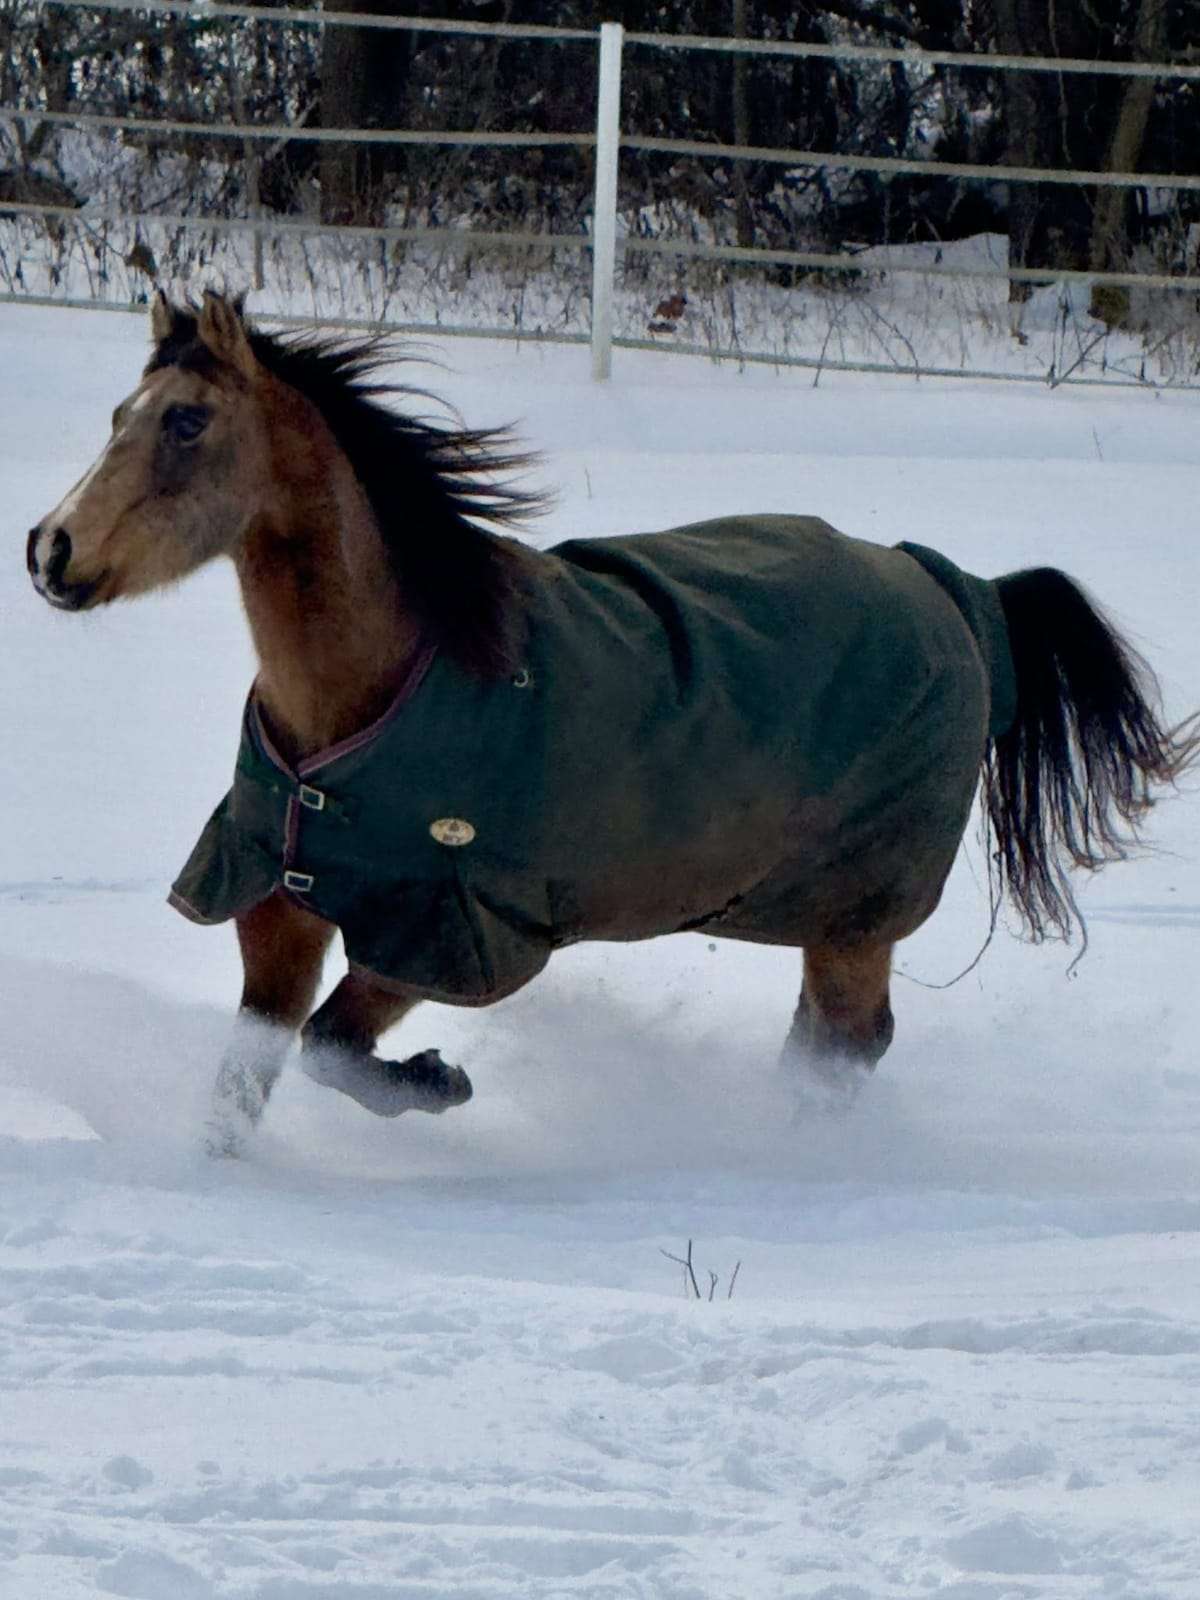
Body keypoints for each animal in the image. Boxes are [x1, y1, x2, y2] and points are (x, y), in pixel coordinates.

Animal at [26, 291, 1198, 1155]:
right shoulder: (280, 909)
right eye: (119, 418)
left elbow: (329, 1048)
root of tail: (956, 592)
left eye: (186, 422)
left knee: (847, 1046)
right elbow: (248, 1079)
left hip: (858, 914)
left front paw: (438, 1082)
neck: (378, 694)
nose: (51, 549)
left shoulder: (446, 929)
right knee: (829, 1044)